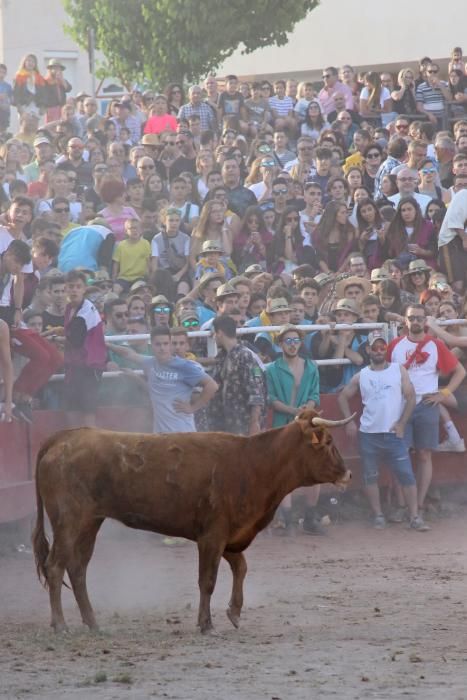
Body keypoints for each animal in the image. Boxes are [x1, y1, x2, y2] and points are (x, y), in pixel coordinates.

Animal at [33, 410, 352, 636]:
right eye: (328, 443)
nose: (348, 474)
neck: (253, 463)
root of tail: (62, 438)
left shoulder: (230, 535)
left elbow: (241, 568)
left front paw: (234, 612)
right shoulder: (212, 536)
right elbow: (207, 580)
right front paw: (206, 624)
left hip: (90, 524)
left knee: (78, 569)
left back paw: (92, 622)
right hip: (69, 522)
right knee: (55, 566)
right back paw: (60, 625)